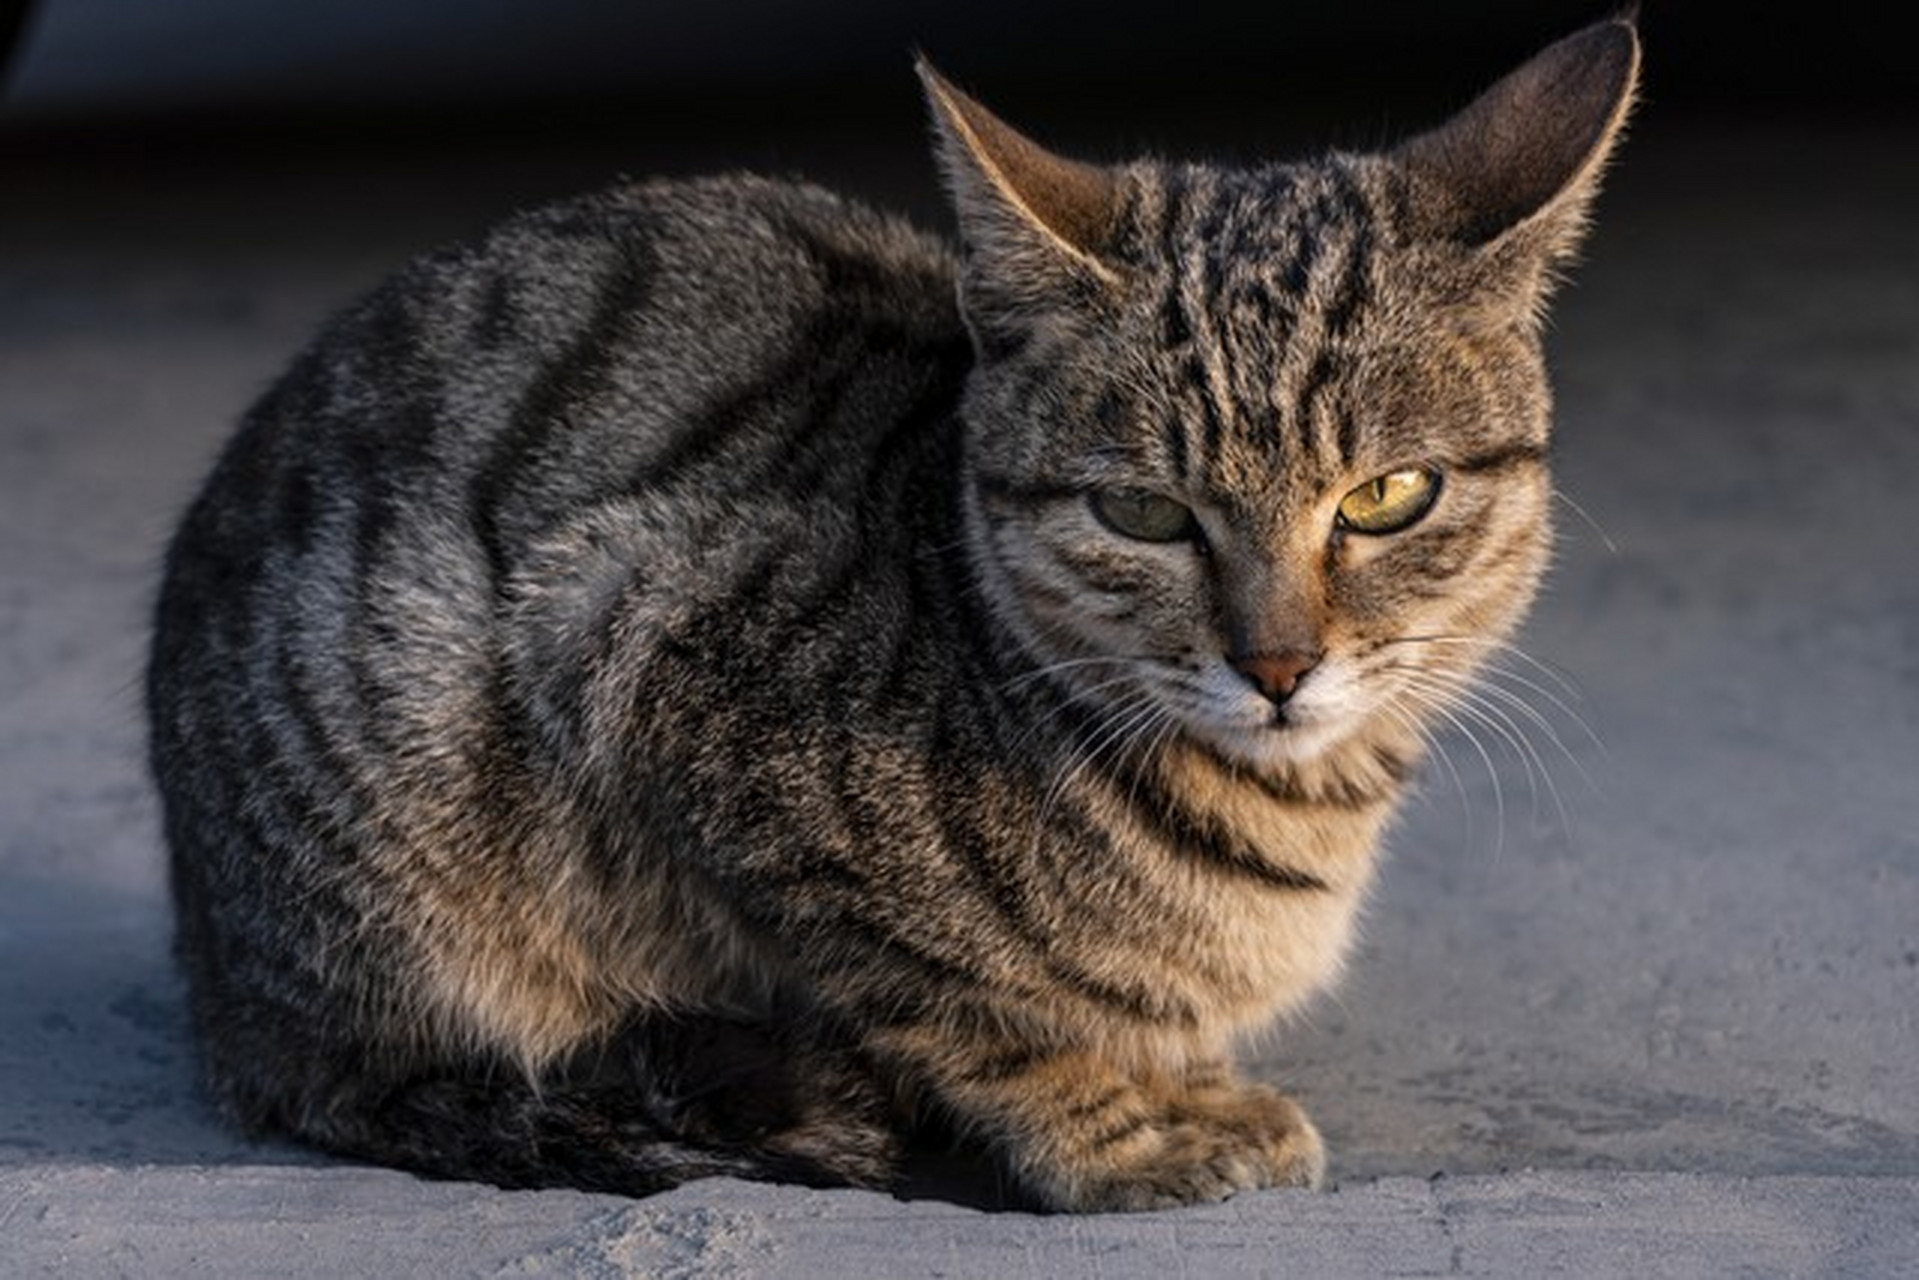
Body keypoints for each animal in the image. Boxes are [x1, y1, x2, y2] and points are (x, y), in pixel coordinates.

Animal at [149, 14, 1642, 1205]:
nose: (1275, 663)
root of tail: (223, 993)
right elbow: (966, 1005)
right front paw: (1121, 1126)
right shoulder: (639, 642)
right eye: (1143, 513)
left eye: (1387, 495)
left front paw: (1183, 1073)